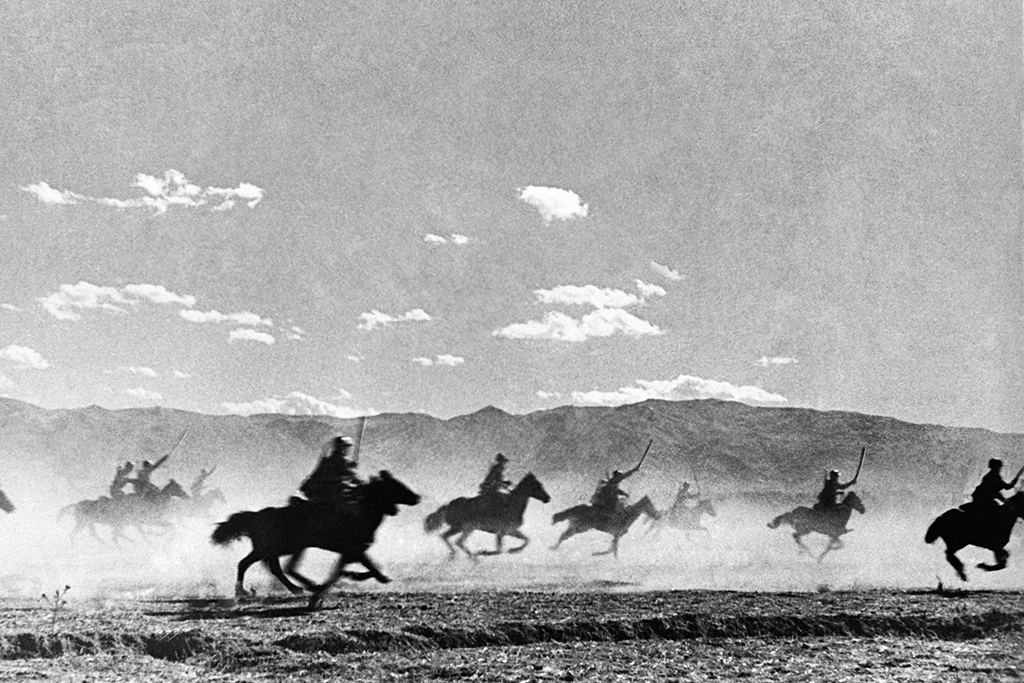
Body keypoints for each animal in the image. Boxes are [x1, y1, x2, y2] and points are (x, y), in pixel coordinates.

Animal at [58, 479, 191, 548]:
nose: (187, 496)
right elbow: (167, 527)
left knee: (96, 534)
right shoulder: (146, 521)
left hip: (88, 523)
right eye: (178, 487)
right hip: (84, 522)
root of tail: (75, 505)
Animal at [209, 471, 417, 610]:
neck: (360, 512)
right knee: (262, 566)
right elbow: (368, 566)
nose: (416, 497)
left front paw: (351, 577)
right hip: (283, 547)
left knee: (268, 566)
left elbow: (347, 569)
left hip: (275, 548)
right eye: (394, 485)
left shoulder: (349, 552)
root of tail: (256, 516)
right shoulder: (354, 550)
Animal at [423, 473, 552, 565]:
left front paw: (513, 550)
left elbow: (526, 540)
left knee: (446, 537)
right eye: (538, 485)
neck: (513, 504)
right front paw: (482, 552)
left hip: (459, 528)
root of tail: (448, 507)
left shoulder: (510, 531)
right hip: (467, 527)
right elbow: (500, 549)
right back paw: (472, 557)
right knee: (457, 541)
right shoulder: (503, 531)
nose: (548, 498)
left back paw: (455, 555)